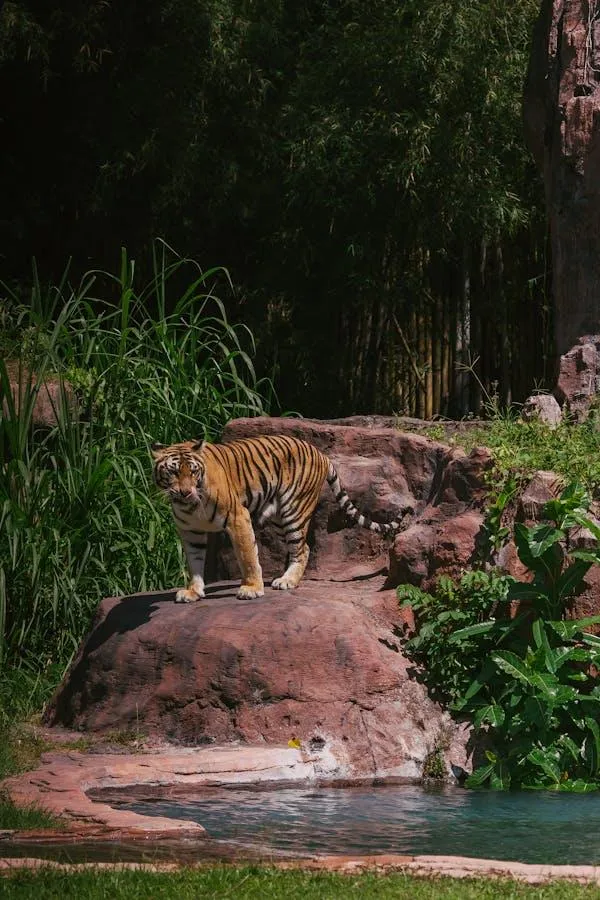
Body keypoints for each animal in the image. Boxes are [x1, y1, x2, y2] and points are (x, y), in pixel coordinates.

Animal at [151, 434, 409, 602]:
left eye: (193, 471)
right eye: (173, 471)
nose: (185, 491)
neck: (190, 505)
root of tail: (320, 452)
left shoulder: (238, 517)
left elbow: (247, 556)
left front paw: (251, 588)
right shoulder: (190, 531)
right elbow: (194, 563)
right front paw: (193, 591)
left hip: (294, 509)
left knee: (302, 549)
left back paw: (287, 581)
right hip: (277, 514)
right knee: (302, 546)